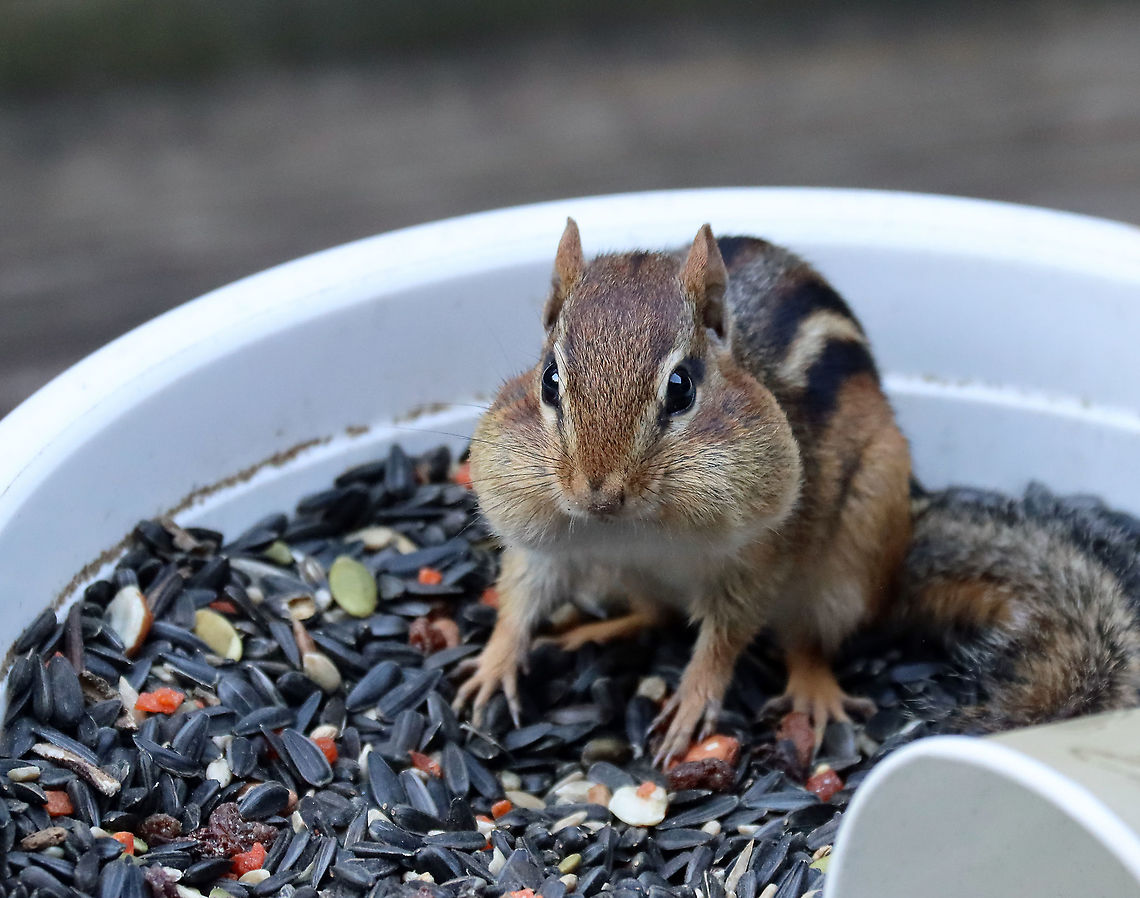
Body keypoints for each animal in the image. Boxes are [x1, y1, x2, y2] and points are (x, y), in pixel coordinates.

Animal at [453, 219, 912, 764]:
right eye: (549, 379)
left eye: (681, 386)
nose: (599, 494)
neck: (637, 528)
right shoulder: (546, 543)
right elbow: (521, 594)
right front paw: (493, 664)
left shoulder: (758, 555)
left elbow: (727, 633)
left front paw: (693, 700)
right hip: (629, 577)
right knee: (655, 614)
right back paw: (593, 631)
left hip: (850, 561)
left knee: (809, 639)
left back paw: (813, 691)